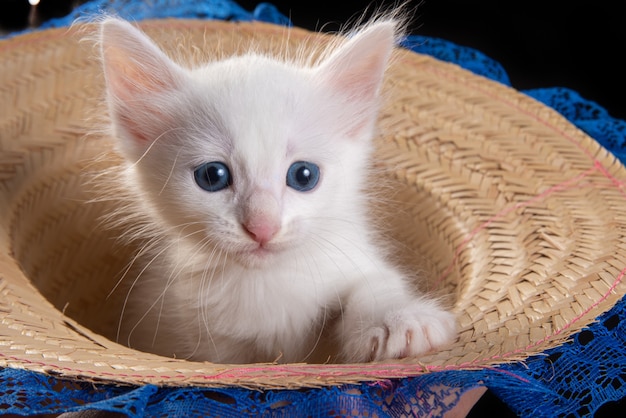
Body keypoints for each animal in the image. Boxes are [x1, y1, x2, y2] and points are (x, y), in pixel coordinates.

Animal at [100, 16, 456, 362]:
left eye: (303, 175)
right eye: (213, 176)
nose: (262, 227)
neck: (264, 283)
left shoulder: (351, 254)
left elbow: (374, 282)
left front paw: (400, 320)